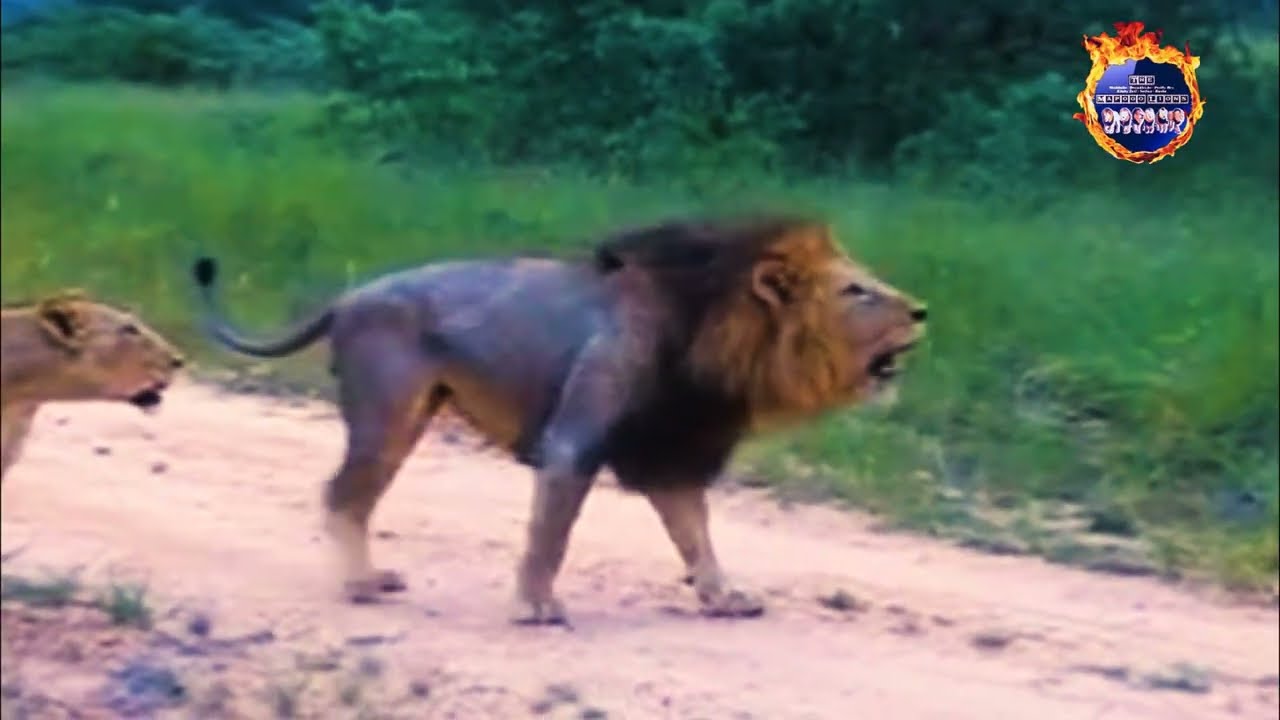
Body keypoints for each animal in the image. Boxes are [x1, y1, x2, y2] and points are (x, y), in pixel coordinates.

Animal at [190, 214, 927, 624]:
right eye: (856, 291)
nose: (923, 311)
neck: (717, 334)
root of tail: (347, 297)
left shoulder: (667, 451)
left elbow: (696, 537)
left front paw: (723, 598)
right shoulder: (575, 442)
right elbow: (552, 535)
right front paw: (537, 608)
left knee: (356, 497)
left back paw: (367, 579)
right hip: (387, 413)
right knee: (342, 494)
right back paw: (360, 585)